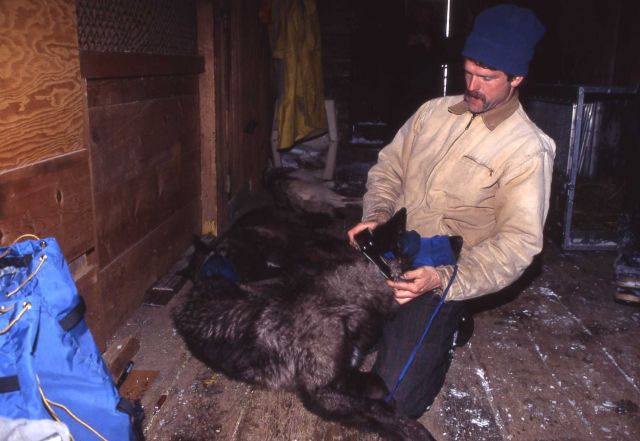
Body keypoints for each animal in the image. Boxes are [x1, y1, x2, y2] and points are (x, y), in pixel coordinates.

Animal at [172, 206, 436, 441]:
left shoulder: (345, 374)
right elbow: (376, 408)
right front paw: (413, 430)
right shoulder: (318, 392)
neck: (339, 302)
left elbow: (377, 384)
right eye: (406, 245)